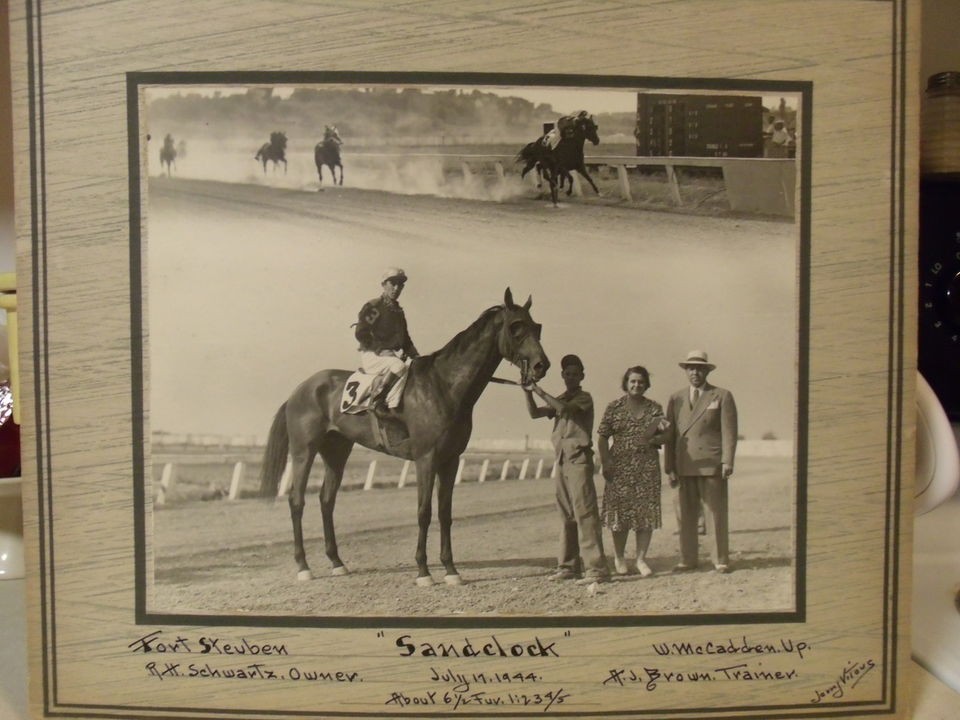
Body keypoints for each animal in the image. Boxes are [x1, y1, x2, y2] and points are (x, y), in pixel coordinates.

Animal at [258, 290, 552, 588]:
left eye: (537, 327)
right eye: (516, 327)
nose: (542, 365)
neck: (444, 386)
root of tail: (300, 389)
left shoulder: (450, 460)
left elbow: (445, 513)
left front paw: (451, 570)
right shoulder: (426, 458)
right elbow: (424, 512)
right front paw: (423, 571)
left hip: (336, 452)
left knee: (326, 500)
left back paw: (337, 563)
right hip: (303, 451)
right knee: (297, 501)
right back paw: (303, 566)